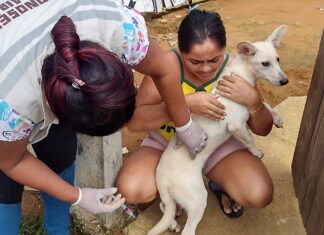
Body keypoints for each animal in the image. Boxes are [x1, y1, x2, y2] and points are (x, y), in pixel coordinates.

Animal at [148, 24, 288, 234]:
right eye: (265, 63)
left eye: (278, 59)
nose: (285, 81)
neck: (240, 74)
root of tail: (162, 178)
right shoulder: (236, 125)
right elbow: (250, 139)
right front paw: (256, 152)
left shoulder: (249, 102)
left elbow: (265, 105)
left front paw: (277, 118)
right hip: (197, 199)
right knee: (186, 228)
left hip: (172, 198)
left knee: (165, 207)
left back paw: (172, 222)